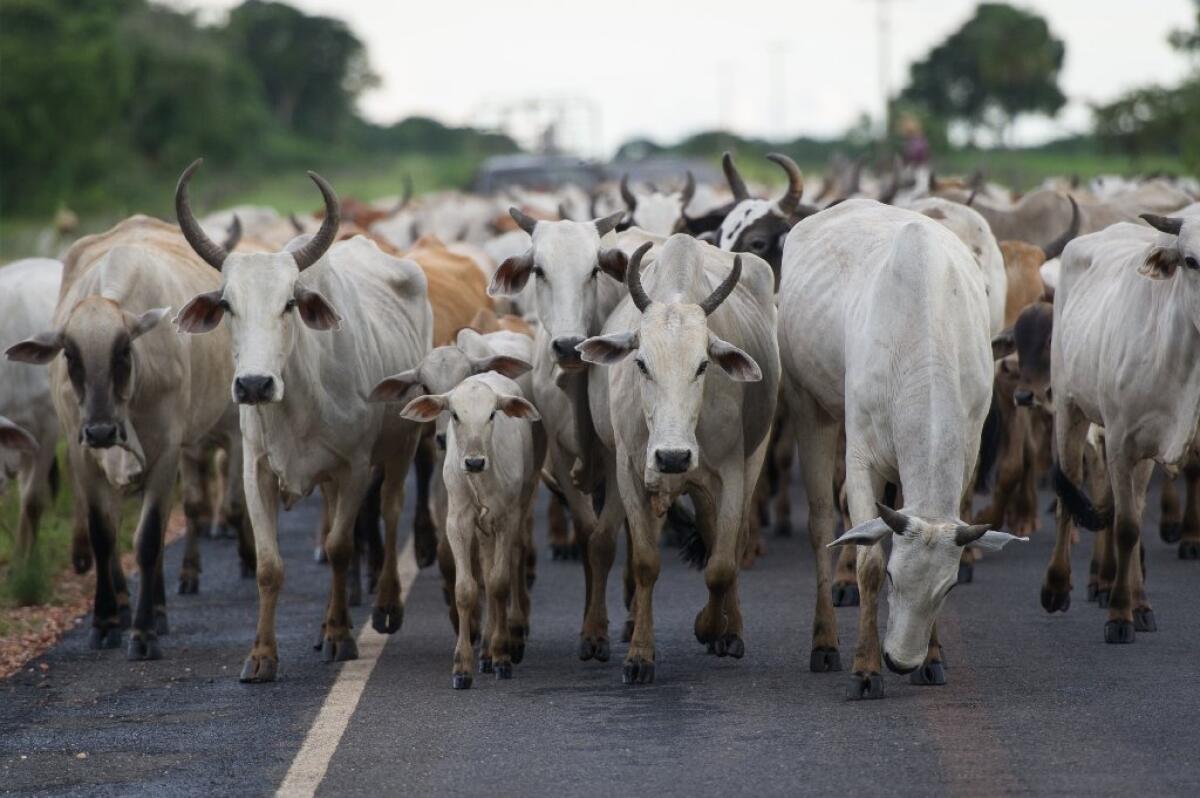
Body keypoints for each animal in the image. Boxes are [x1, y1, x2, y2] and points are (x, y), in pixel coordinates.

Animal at [169, 160, 432, 676]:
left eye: (289, 303)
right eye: (227, 304)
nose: (254, 385)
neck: (295, 402)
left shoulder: (354, 468)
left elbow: (339, 548)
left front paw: (340, 637)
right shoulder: (256, 471)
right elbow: (270, 567)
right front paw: (261, 656)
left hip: (400, 446)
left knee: (391, 511)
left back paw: (385, 605)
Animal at [398, 369, 540, 686]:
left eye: (492, 414)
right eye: (454, 415)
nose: (474, 462)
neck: (480, 481)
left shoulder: (506, 519)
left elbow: (499, 584)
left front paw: (502, 656)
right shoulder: (458, 522)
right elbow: (466, 589)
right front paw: (462, 666)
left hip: (519, 507)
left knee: (508, 565)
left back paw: (498, 646)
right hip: (481, 530)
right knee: (484, 573)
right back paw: (484, 652)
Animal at [578, 234, 782, 681]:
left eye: (703, 364)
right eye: (641, 363)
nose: (672, 456)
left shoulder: (730, 472)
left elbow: (721, 564)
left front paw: (710, 627)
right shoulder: (631, 472)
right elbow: (644, 563)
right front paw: (639, 655)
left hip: (752, 458)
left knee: (728, 539)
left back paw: (729, 630)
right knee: (602, 542)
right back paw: (596, 634)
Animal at [777, 199, 1022, 696]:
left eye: (948, 589)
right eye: (893, 577)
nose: (901, 661)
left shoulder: (967, 454)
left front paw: (934, 659)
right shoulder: (860, 459)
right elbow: (867, 555)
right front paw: (866, 668)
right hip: (808, 406)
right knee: (821, 522)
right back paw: (824, 642)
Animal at [1041, 208, 1200, 643]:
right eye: (1192, 261)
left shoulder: (1147, 447)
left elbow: (1134, 521)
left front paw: (1135, 606)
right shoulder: (1118, 441)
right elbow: (1126, 526)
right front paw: (1118, 614)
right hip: (1068, 408)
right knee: (1068, 492)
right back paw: (1057, 586)